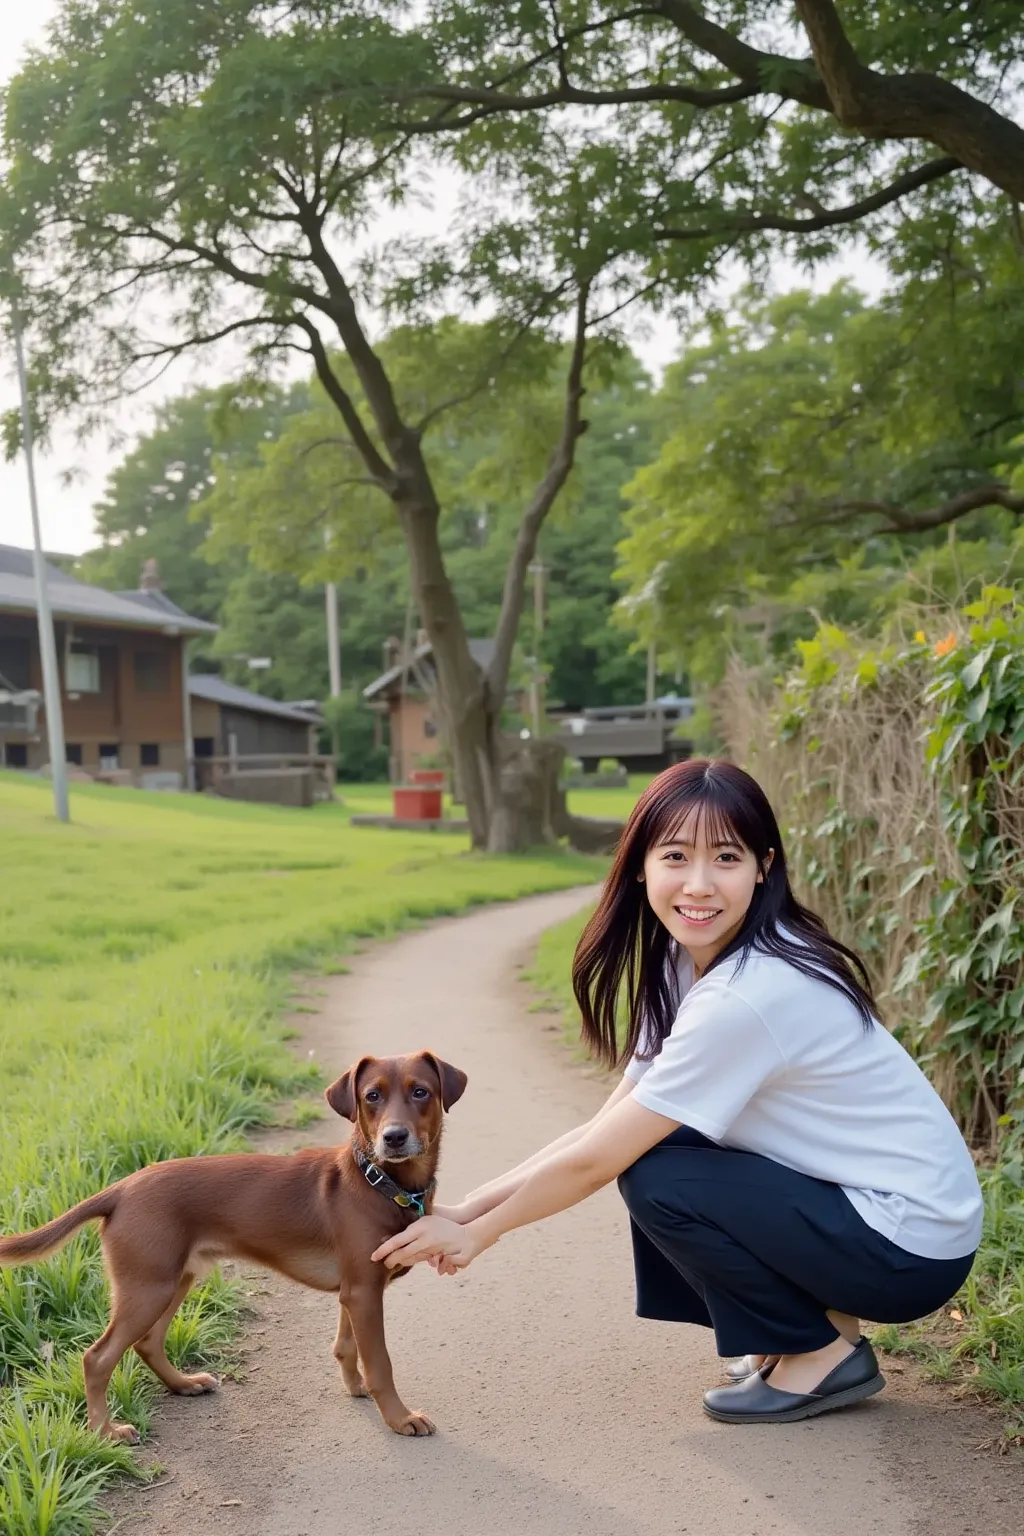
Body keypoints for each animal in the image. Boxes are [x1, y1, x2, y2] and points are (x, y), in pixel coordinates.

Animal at [0, 1050, 463, 1443]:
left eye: (421, 1091)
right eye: (372, 1096)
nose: (394, 1138)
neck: (379, 1183)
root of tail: (121, 1188)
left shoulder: (355, 1291)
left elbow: (347, 1347)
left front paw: (357, 1388)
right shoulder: (364, 1292)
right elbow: (380, 1362)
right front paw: (399, 1418)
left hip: (172, 1280)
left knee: (147, 1343)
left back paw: (183, 1385)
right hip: (148, 1287)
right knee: (96, 1359)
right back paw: (104, 1432)